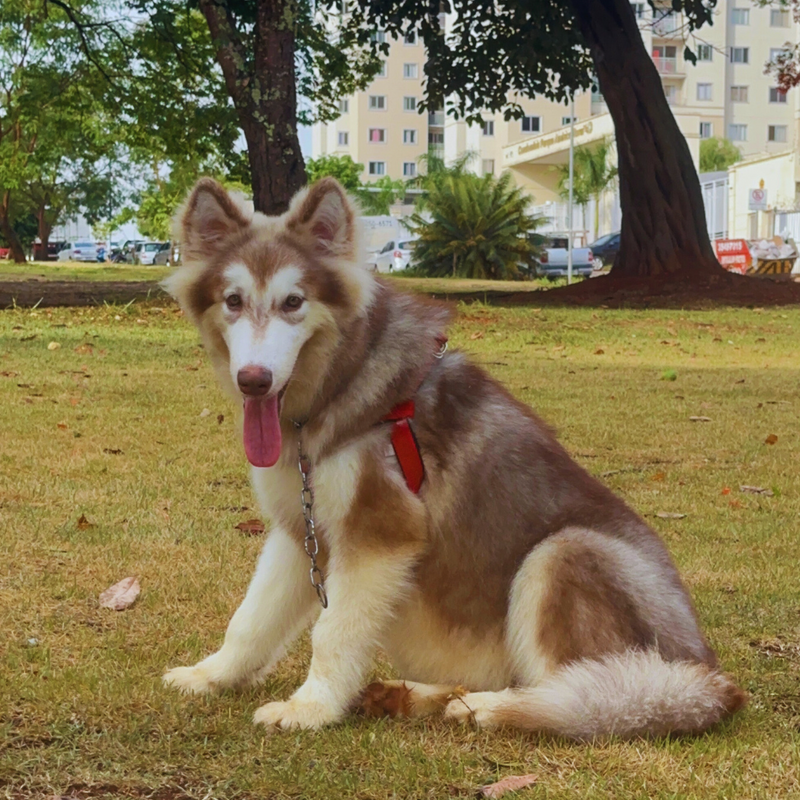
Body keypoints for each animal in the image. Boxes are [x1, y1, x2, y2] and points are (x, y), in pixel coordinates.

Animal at [161, 178, 744, 740]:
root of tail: (709, 679)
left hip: (565, 554)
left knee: (593, 694)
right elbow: (251, 618)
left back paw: (490, 707)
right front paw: (211, 675)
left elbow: (333, 633)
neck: (339, 386)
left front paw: (312, 708)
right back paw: (419, 696)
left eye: (293, 302)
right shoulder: (302, 530)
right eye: (233, 300)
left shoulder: (379, 533)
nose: (253, 380)